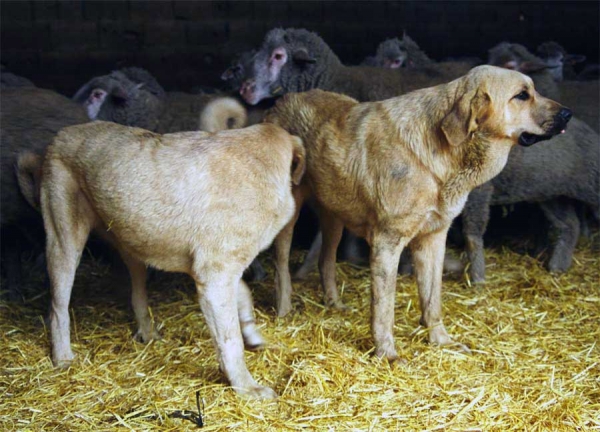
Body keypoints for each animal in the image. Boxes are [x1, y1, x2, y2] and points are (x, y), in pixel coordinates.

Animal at [41, 120, 304, 398]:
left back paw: (148, 334)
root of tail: (63, 132)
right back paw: (63, 358)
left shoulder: (222, 272)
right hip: (65, 242)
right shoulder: (215, 277)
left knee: (137, 296)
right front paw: (247, 387)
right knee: (58, 308)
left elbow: (244, 296)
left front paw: (252, 334)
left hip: (134, 244)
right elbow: (231, 341)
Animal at [268, 65, 572, 362]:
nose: (569, 114)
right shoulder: (386, 243)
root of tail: (283, 99)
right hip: (288, 218)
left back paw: (334, 304)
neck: (443, 152)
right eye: (522, 95)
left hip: (334, 217)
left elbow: (432, 299)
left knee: (326, 260)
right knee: (282, 267)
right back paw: (284, 311)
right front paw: (387, 354)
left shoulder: (433, 238)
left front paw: (441, 342)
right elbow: (384, 309)